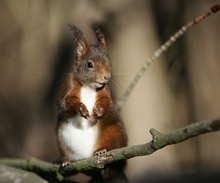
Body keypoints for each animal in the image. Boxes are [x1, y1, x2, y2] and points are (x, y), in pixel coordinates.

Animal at [55, 25, 127, 181]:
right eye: (89, 64)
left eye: (110, 63)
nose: (106, 77)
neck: (89, 86)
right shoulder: (68, 85)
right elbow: (65, 102)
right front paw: (81, 108)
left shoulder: (106, 91)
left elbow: (107, 103)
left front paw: (98, 110)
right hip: (62, 139)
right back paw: (66, 161)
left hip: (114, 133)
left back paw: (102, 151)